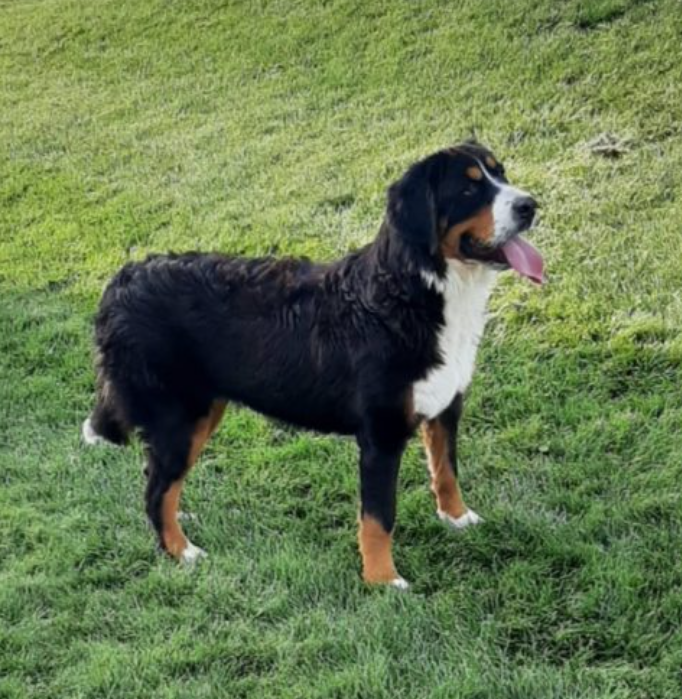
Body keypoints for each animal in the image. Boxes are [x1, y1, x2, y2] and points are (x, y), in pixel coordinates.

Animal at [83, 144, 540, 592]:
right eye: (468, 189)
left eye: (500, 173)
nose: (530, 205)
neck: (414, 294)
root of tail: (122, 280)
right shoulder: (381, 435)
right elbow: (379, 518)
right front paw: (383, 581)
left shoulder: (446, 406)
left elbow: (446, 471)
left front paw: (457, 518)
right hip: (179, 418)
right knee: (156, 488)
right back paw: (181, 551)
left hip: (201, 413)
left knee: (162, 482)